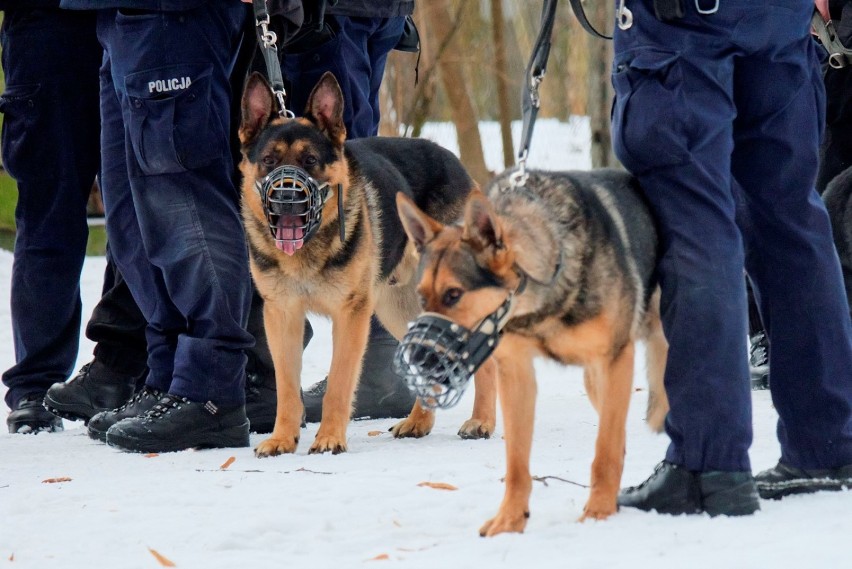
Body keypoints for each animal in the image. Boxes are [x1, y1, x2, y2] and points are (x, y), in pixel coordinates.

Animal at [236, 71, 496, 454]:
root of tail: (454, 161)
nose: (285, 198)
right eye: (269, 160)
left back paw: (481, 421)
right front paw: (282, 438)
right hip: (398, 309)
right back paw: (419, 422)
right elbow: (286, 388)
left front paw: (330, 438)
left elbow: (339, 384)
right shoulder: (282, 316)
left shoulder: (350, 315)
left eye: (310, 161)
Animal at [400, 170, 672, 536]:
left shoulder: (615, 360)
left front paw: (598, 513)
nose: (416, 358)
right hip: (594, 380)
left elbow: (605, 452)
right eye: (422, 297)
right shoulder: (516, 373)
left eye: (454, 294)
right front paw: (510, 520)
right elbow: (516, 462)